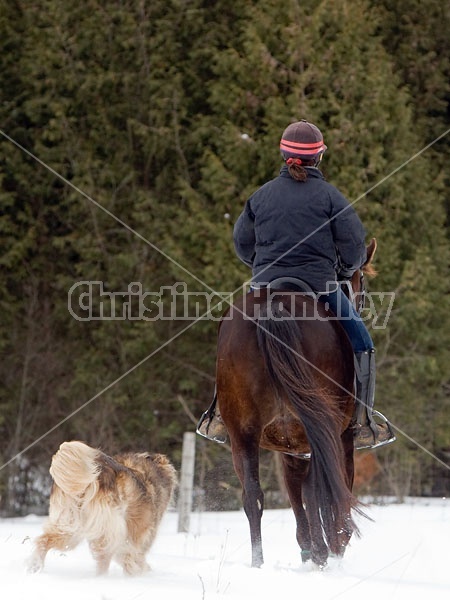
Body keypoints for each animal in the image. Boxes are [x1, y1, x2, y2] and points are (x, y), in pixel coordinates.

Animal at [27, 440, 177, 576]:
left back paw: (34, 565)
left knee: (44, 540)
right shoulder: (139, 536)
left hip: (69, 526)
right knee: (104, 557)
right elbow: (133, 558)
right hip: (106, 528)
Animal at [214, 243, 376, 568]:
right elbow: (331, 488)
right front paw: (333, 545)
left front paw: (309, 548)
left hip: (243, 433)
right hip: (319, 429)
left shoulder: (290, 448)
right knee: (315, 487)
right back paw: (325, 552)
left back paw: (259, 562)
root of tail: (274, 305)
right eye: (362, 280)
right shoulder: (342, 439)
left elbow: (294, 492)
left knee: (253, 495)